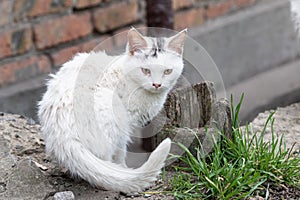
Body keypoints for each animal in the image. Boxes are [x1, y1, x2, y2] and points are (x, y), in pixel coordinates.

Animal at [38, 28, 185, 192]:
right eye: (145, 70)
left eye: (167, 71)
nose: (157, 84)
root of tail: (65, 136)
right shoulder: (126, 126)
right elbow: (121, 152)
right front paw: (123, 168)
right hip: (115, 118)